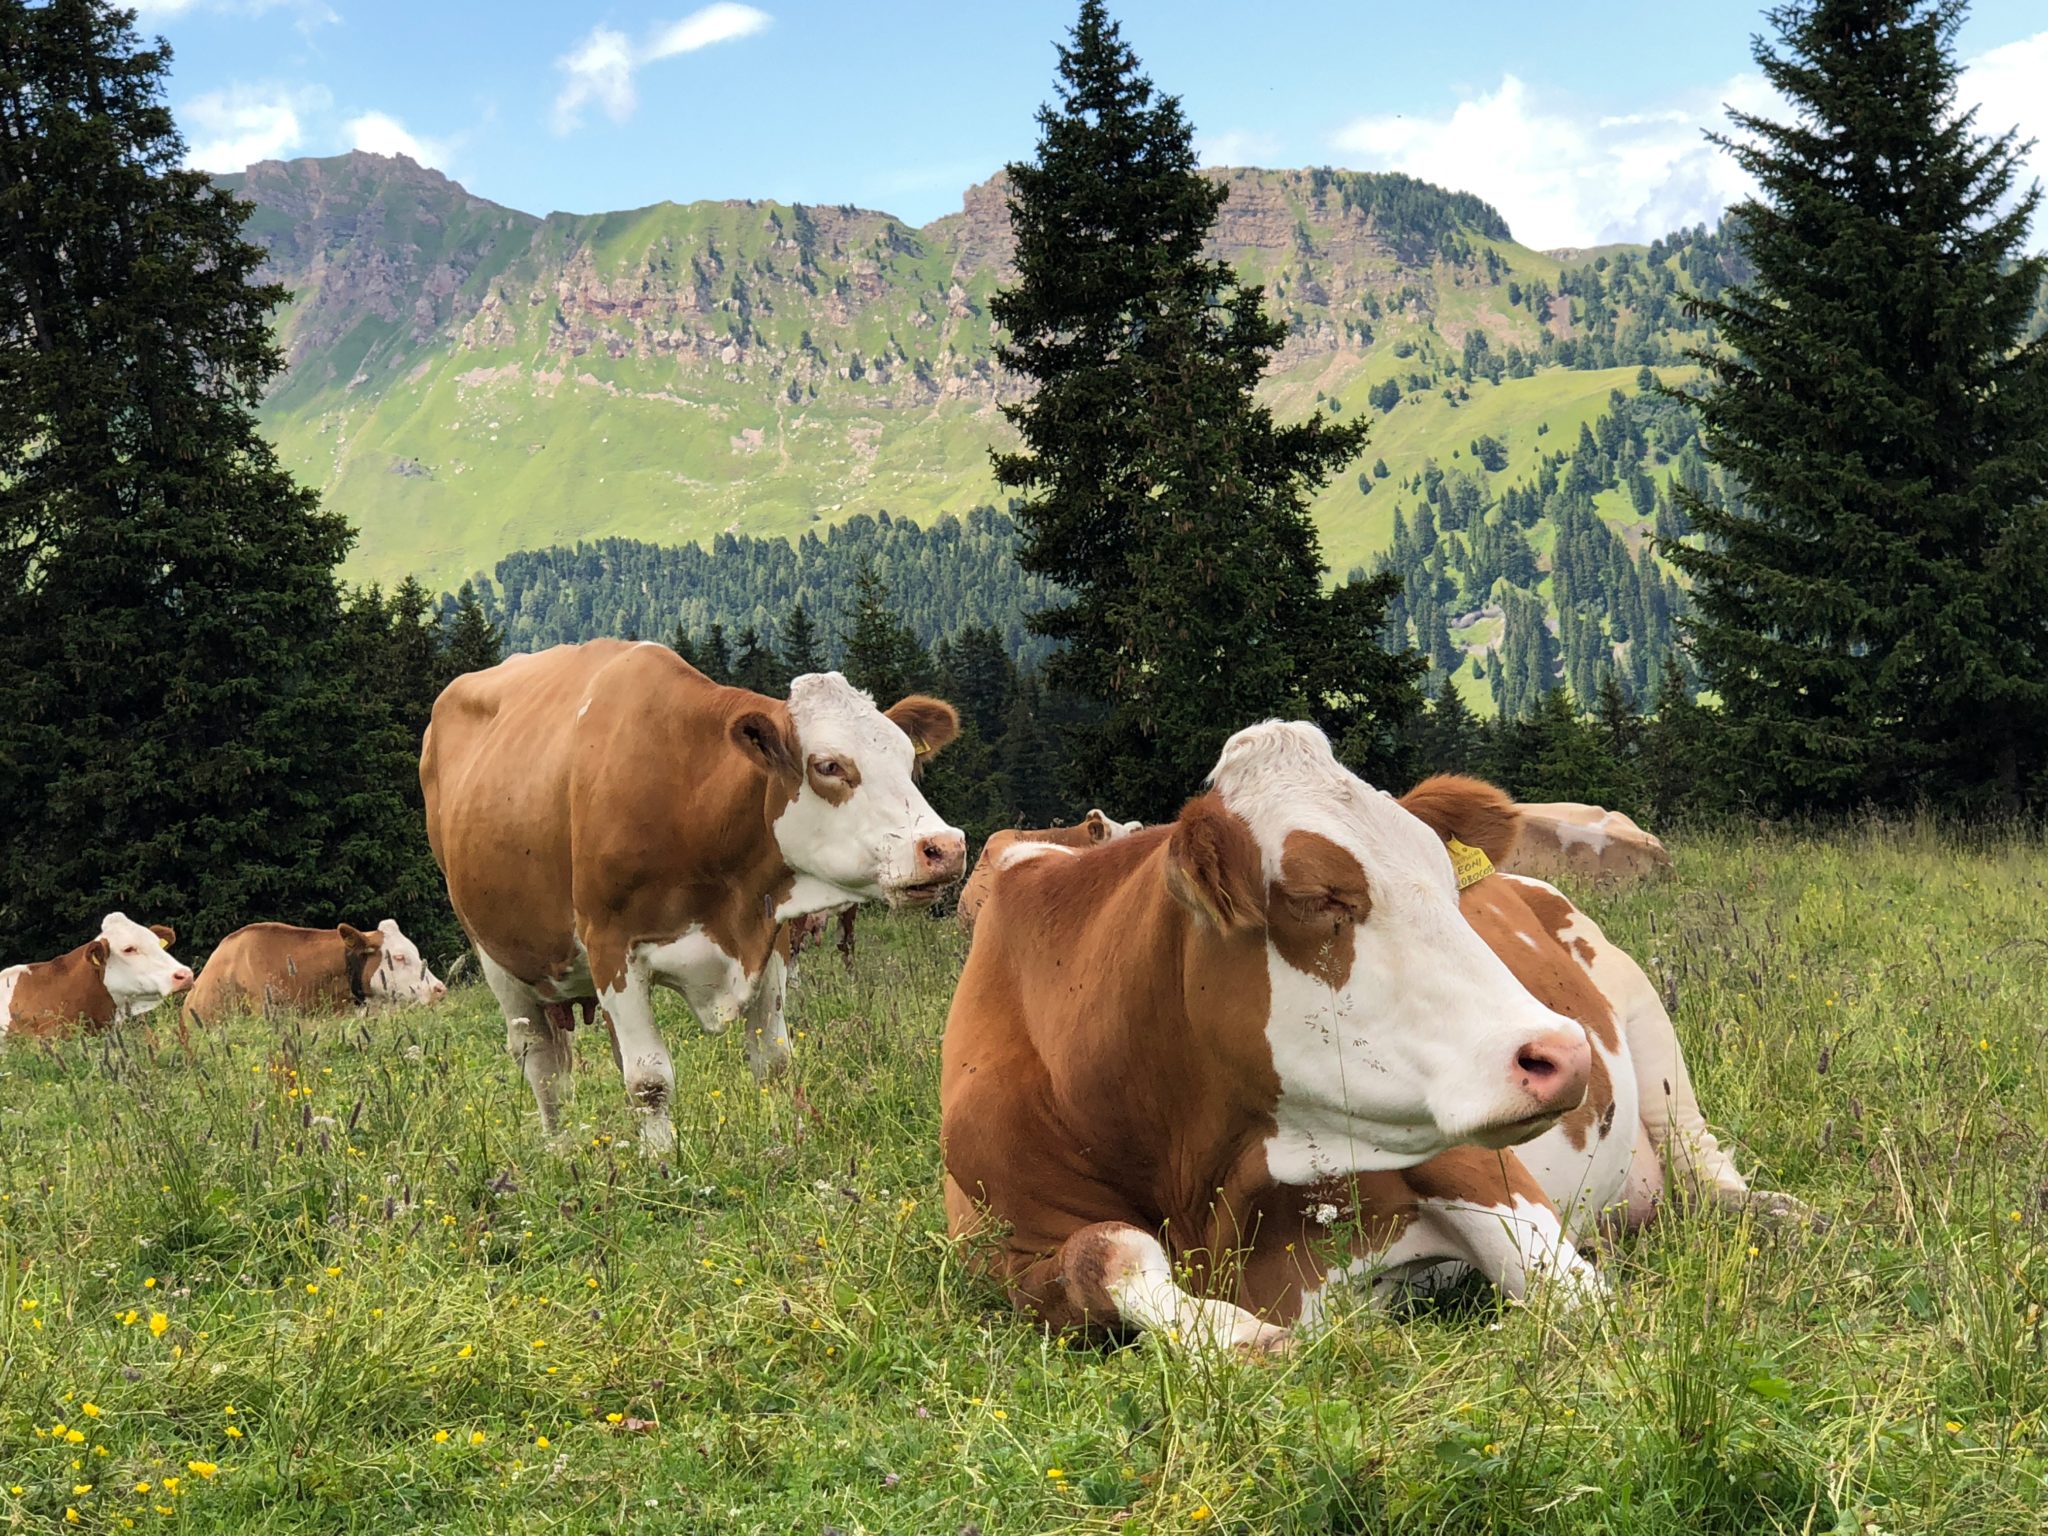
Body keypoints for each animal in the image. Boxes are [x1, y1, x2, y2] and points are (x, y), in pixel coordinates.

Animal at [421, 638, 966, 1155]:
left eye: (906, 757)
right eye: (829, 765)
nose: (945, 847)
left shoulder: (767, 938)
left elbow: (773, 1060)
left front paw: (786, 1143)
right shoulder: (611, 947)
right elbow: (649, 1081)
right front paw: (663, 1163)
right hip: (499, 959)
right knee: (543, 1064)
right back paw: (561, 1147)